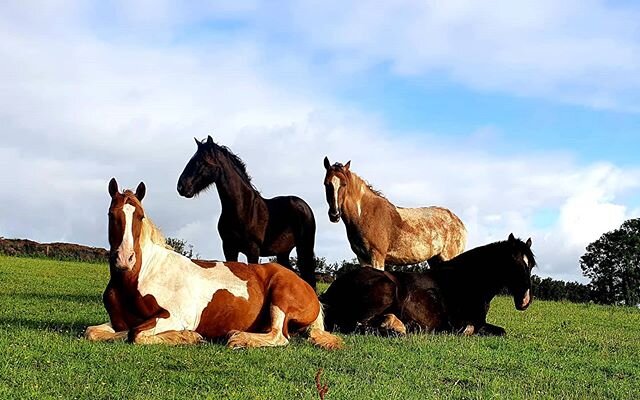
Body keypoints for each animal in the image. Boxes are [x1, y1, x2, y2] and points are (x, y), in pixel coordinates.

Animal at [86, 179, 344, 350]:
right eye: (111, 215)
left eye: (139, 216)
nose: (124, 259)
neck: (140, 277)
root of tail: (307, 287)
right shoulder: (117, 322)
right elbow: (95, 332)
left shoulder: (173, 316)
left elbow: (137, 335)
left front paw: (188, 337)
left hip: (281, 299)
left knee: (278, 336)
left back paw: (238, 337)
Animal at [176, 136, 318, 290]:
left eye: (202, 161)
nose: (181, 187)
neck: (243, 208)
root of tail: (304, 206)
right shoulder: (229, 248)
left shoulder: (253, 250)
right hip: (283, 253)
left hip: (304, 247)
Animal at [320, 234, 536, 338]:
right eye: (513, 263)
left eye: (531, 265)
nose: (525, 300)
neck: (466, 282)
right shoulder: (460, 323)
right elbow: (471, 329)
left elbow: (501, 331)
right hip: (385, 290)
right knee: (353, 325)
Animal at [324, 156, 464, 268]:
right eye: (326, 184)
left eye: (344, 184)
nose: (334, 215)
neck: (364, 214)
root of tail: (459, 223)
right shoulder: (362, 259)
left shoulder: (377, 256)